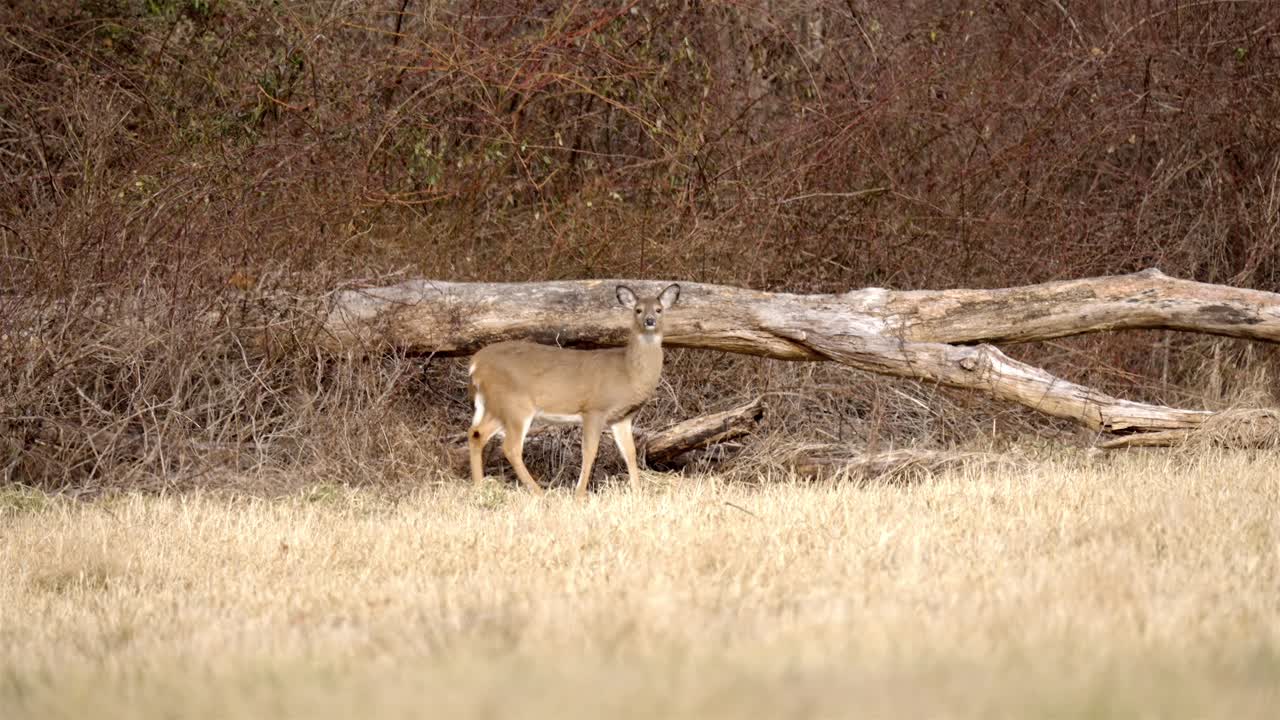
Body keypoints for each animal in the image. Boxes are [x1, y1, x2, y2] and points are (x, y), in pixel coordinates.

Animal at [466, 283, 681, 498]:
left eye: (659, 309)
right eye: (638, 310)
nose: (649, 320)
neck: (628, 371)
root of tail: (475, 363)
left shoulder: (621, 417)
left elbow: (630, 452)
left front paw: (637, 492)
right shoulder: (594, 408)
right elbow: (590, 451)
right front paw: (579, 494)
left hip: (497, 406)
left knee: (476, 433)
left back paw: (479, 487)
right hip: (515, 405)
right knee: (510, 447)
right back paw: (539, 492)